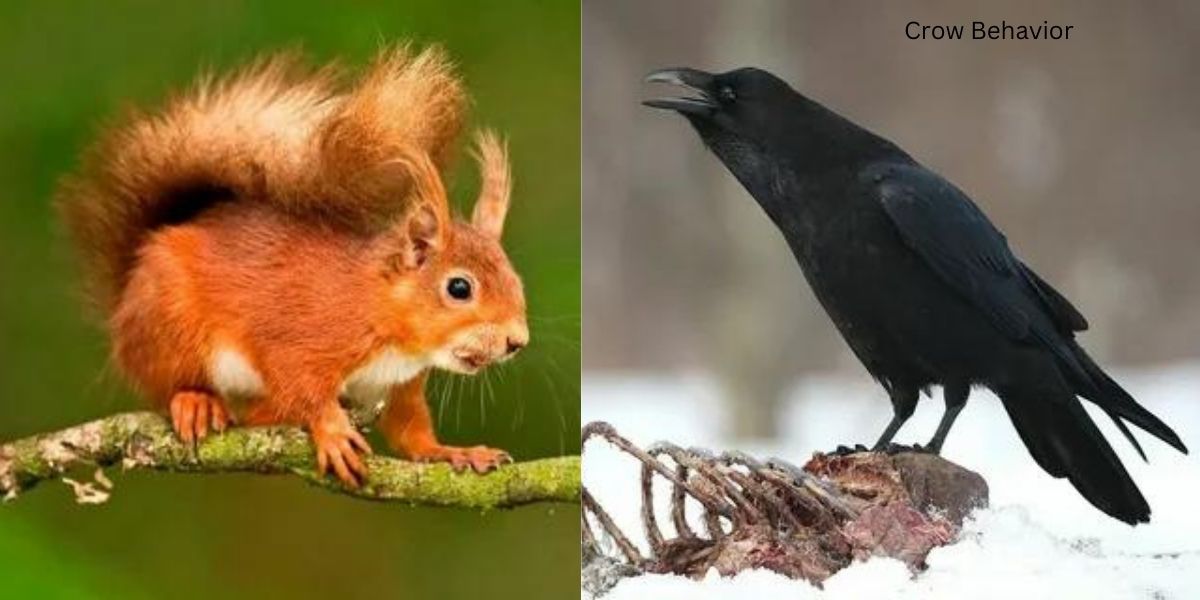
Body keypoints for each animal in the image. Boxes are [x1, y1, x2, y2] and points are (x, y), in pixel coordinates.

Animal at [57, 45, 529, 486]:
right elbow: (301, 384)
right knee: (171, 384)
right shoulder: (304, 337)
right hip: (170, 327)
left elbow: (411, 434)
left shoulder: (397, 386)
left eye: (516, 281)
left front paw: (455, 452)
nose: (517, 341)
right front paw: (331, 430)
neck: (382, 314)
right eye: (459, 288)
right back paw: (195, 401)